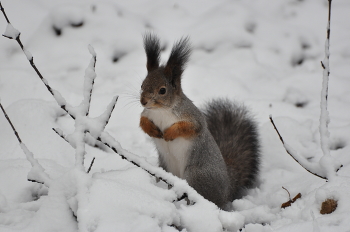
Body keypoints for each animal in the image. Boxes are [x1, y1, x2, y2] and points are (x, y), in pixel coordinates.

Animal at [138, 33, 258, 210]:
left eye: (162, 90)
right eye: (142, 84)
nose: (143, 101)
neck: (161, 111)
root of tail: (227, 190)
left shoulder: (193, 117)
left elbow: (191, 127)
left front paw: (169, 133)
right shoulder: (147, 113)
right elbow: (142, 121)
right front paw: (152, 130)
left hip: (195, 175)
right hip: (165, 169)